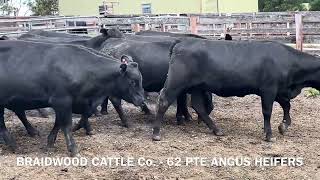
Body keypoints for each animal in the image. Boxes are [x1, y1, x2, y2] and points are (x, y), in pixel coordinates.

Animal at [0, 40, 144, 155]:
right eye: (132, 82)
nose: (142, 100)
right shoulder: (61, 101)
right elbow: (66, 125)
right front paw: (73, 148)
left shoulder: (70, 103)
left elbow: (59, 123)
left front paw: (50, 142)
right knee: (3, 124)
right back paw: (13, 145)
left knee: (18, 113)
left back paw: (29, 133)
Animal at [152, 39, 320, 142]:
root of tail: (181, 42)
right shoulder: (268, 89)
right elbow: (267, 111)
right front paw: (269, 134)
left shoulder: (280, 90)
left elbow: (287, 106)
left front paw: (283, 126)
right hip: (176, 82)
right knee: (164, 101)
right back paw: (156, 133)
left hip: (198, 87)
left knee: (198, 106)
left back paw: (217, 130)